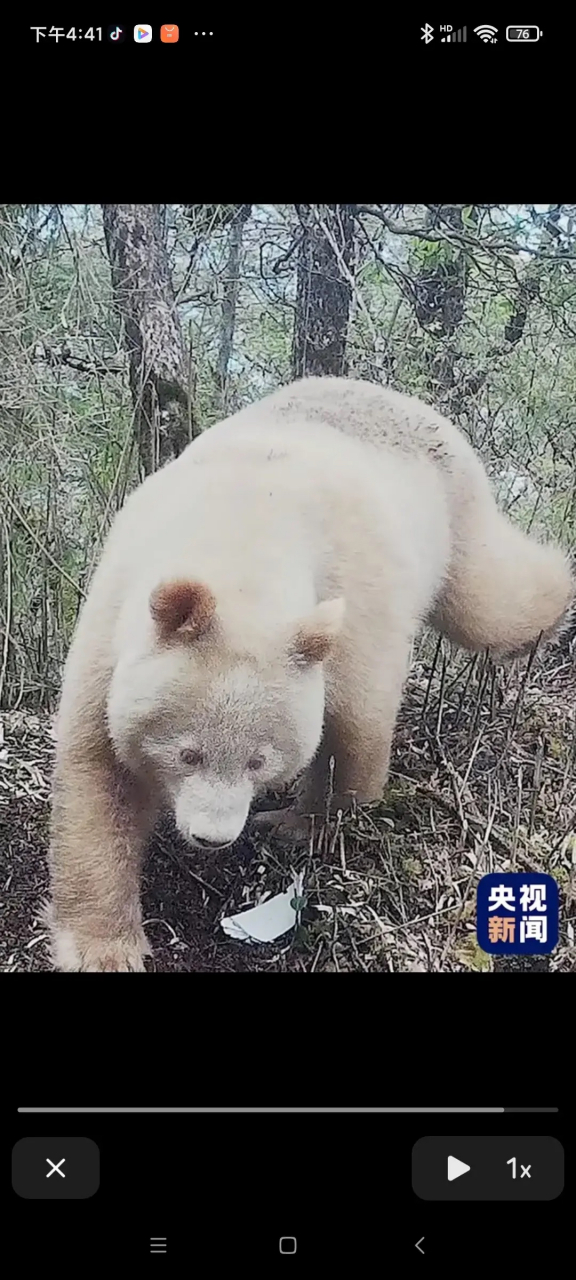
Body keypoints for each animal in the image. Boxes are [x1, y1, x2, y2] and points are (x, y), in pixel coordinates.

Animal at [47, 376, 574, 971]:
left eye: (257, 761)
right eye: (188, 754)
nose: (211, 838)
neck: (243, 531)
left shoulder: (351, 596)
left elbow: (354, 722)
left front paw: (301, 825)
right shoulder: (116, 618)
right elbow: (99, 775)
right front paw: (103, 947)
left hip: (453, 511)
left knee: (492, 601)